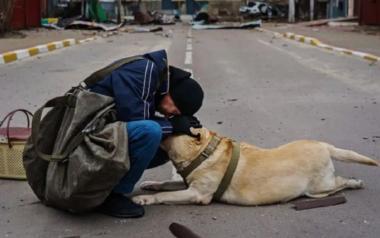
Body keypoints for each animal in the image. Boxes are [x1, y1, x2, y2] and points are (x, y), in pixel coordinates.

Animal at [132, 127, 378, 205]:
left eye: (173, 124)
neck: (203, 154)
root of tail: (325, 146)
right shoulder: (187, 184)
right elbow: (165, 184)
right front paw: (150, 184)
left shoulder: (197, 193)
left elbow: (166, 196)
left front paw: (145, 199)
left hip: (318, 188)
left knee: (340, 183)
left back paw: (355, 182)